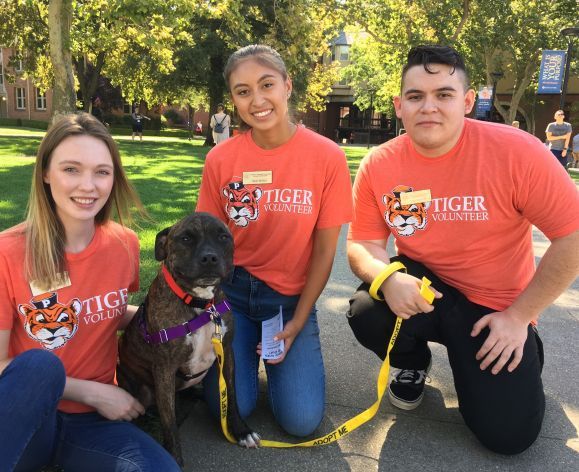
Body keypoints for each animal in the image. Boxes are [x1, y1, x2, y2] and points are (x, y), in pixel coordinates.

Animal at [119, 212, 260, 466]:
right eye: (185, 238)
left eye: (223, 236)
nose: (210, 257)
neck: (200, 304)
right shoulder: (164, 371)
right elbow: (170, 423)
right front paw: (174, 457)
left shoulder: (227, 352)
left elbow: (233, 396)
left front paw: (241, 431)